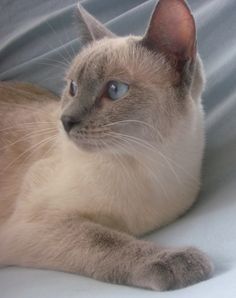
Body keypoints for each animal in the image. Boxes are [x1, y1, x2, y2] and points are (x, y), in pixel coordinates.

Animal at [0, 0, 214, 290]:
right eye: (73, 88)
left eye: (114, 90)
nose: (65, 120)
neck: (150, 166)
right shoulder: (37, 224)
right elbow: (106, 241)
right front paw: (177, 262)